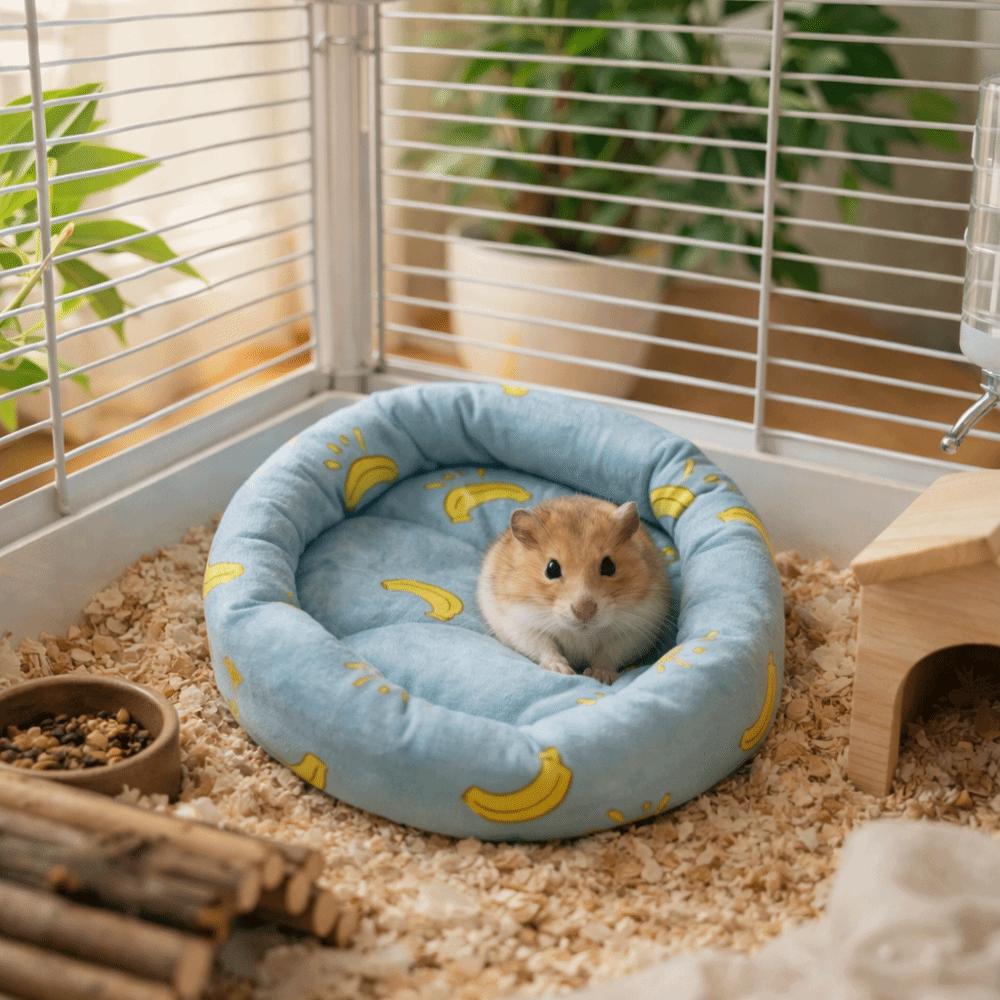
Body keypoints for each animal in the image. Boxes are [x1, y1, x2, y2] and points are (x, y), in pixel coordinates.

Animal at [477, 496, 670, 684]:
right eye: (551, 569)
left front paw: (600, 676)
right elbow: (545, 647)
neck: (581, 633)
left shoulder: (635, 630)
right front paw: (563, 670)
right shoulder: (520, 624)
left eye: (609, 567)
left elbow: (608, 654)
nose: (584, 612)